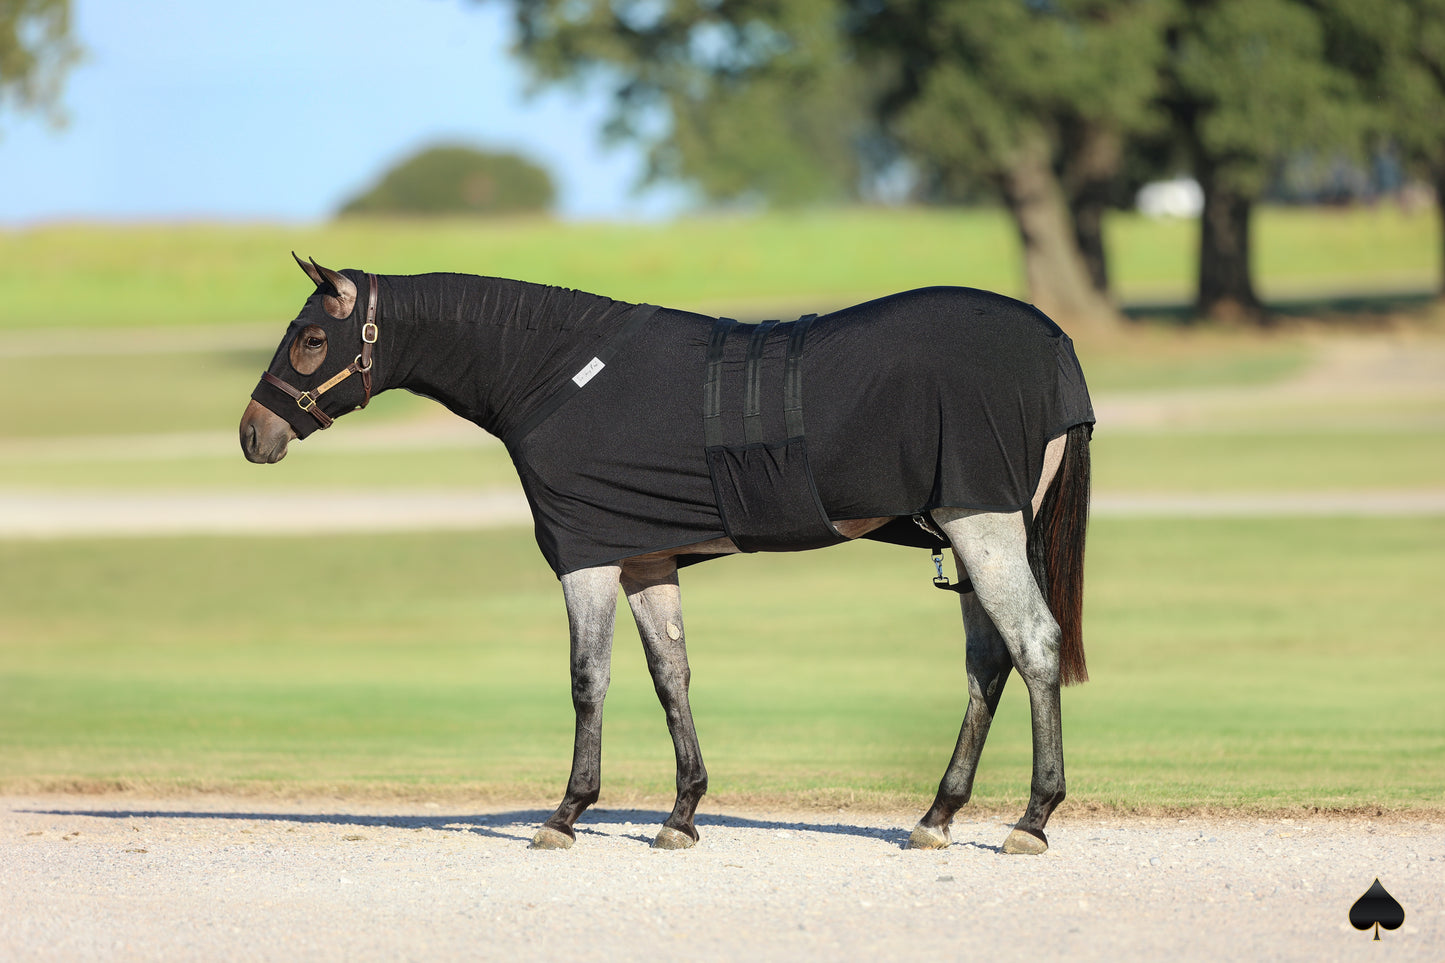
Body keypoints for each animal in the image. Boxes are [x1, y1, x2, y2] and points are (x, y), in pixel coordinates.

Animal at [239, 257, 1092, 856]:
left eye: (311, 338)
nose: (252, 433)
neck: (554, 375)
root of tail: (1053, 342)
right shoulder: (646, 558)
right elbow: (669, 675)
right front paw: (682, 813)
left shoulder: (586, 556)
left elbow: (588, 680)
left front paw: (566, 812)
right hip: (968, 532)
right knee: (987, 664)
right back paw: (937, 814)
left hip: (981, 522)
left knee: (1033, 645)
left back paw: (1031, 817)